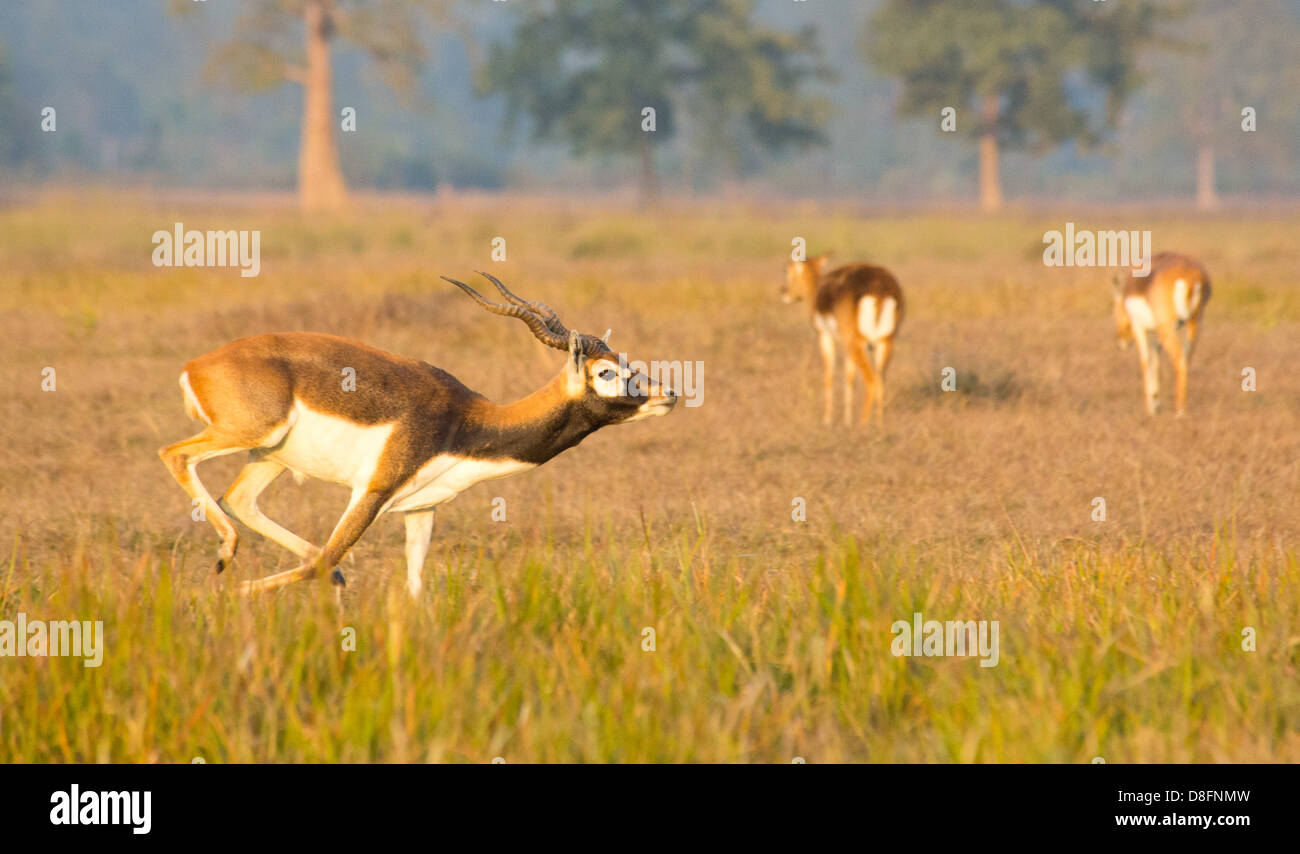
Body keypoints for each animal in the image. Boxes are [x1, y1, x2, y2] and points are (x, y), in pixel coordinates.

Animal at [159, 273, 677, 597]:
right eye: (606, 372)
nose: (668, 393)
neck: (467, 422)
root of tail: (197, 365)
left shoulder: (421, 509)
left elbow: (414, 586)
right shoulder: (373, 490)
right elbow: (326, 556)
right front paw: (234, 594)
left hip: (270, 455)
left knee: (239, 500)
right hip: (248, 433)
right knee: (174, 454)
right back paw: (225, 561)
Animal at [782, 254, 905, 426]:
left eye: (789, 271)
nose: (785, 293)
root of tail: (880, 288)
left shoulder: (825, 337)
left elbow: (829, 375)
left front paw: (827, 420)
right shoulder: (849, 347)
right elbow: (849, 377)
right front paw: (847, 420)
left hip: (857, 343)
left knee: (872, 381)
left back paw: (863, 425)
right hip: (885, 342)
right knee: (880, 382)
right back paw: (879, 425)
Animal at [1111, 252, 1211, 415]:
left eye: (1115, 309)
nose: (1120, 343)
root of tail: (1191, 277)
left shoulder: (1139, 327)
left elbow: (1145, 360)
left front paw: (1151, 408)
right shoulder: (1163, 331)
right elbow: (1156, 353)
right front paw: (1156, 400)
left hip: (1167, 329)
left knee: (1179, 360)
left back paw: (1179, 412)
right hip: (1195, 323)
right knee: (1186, 358)